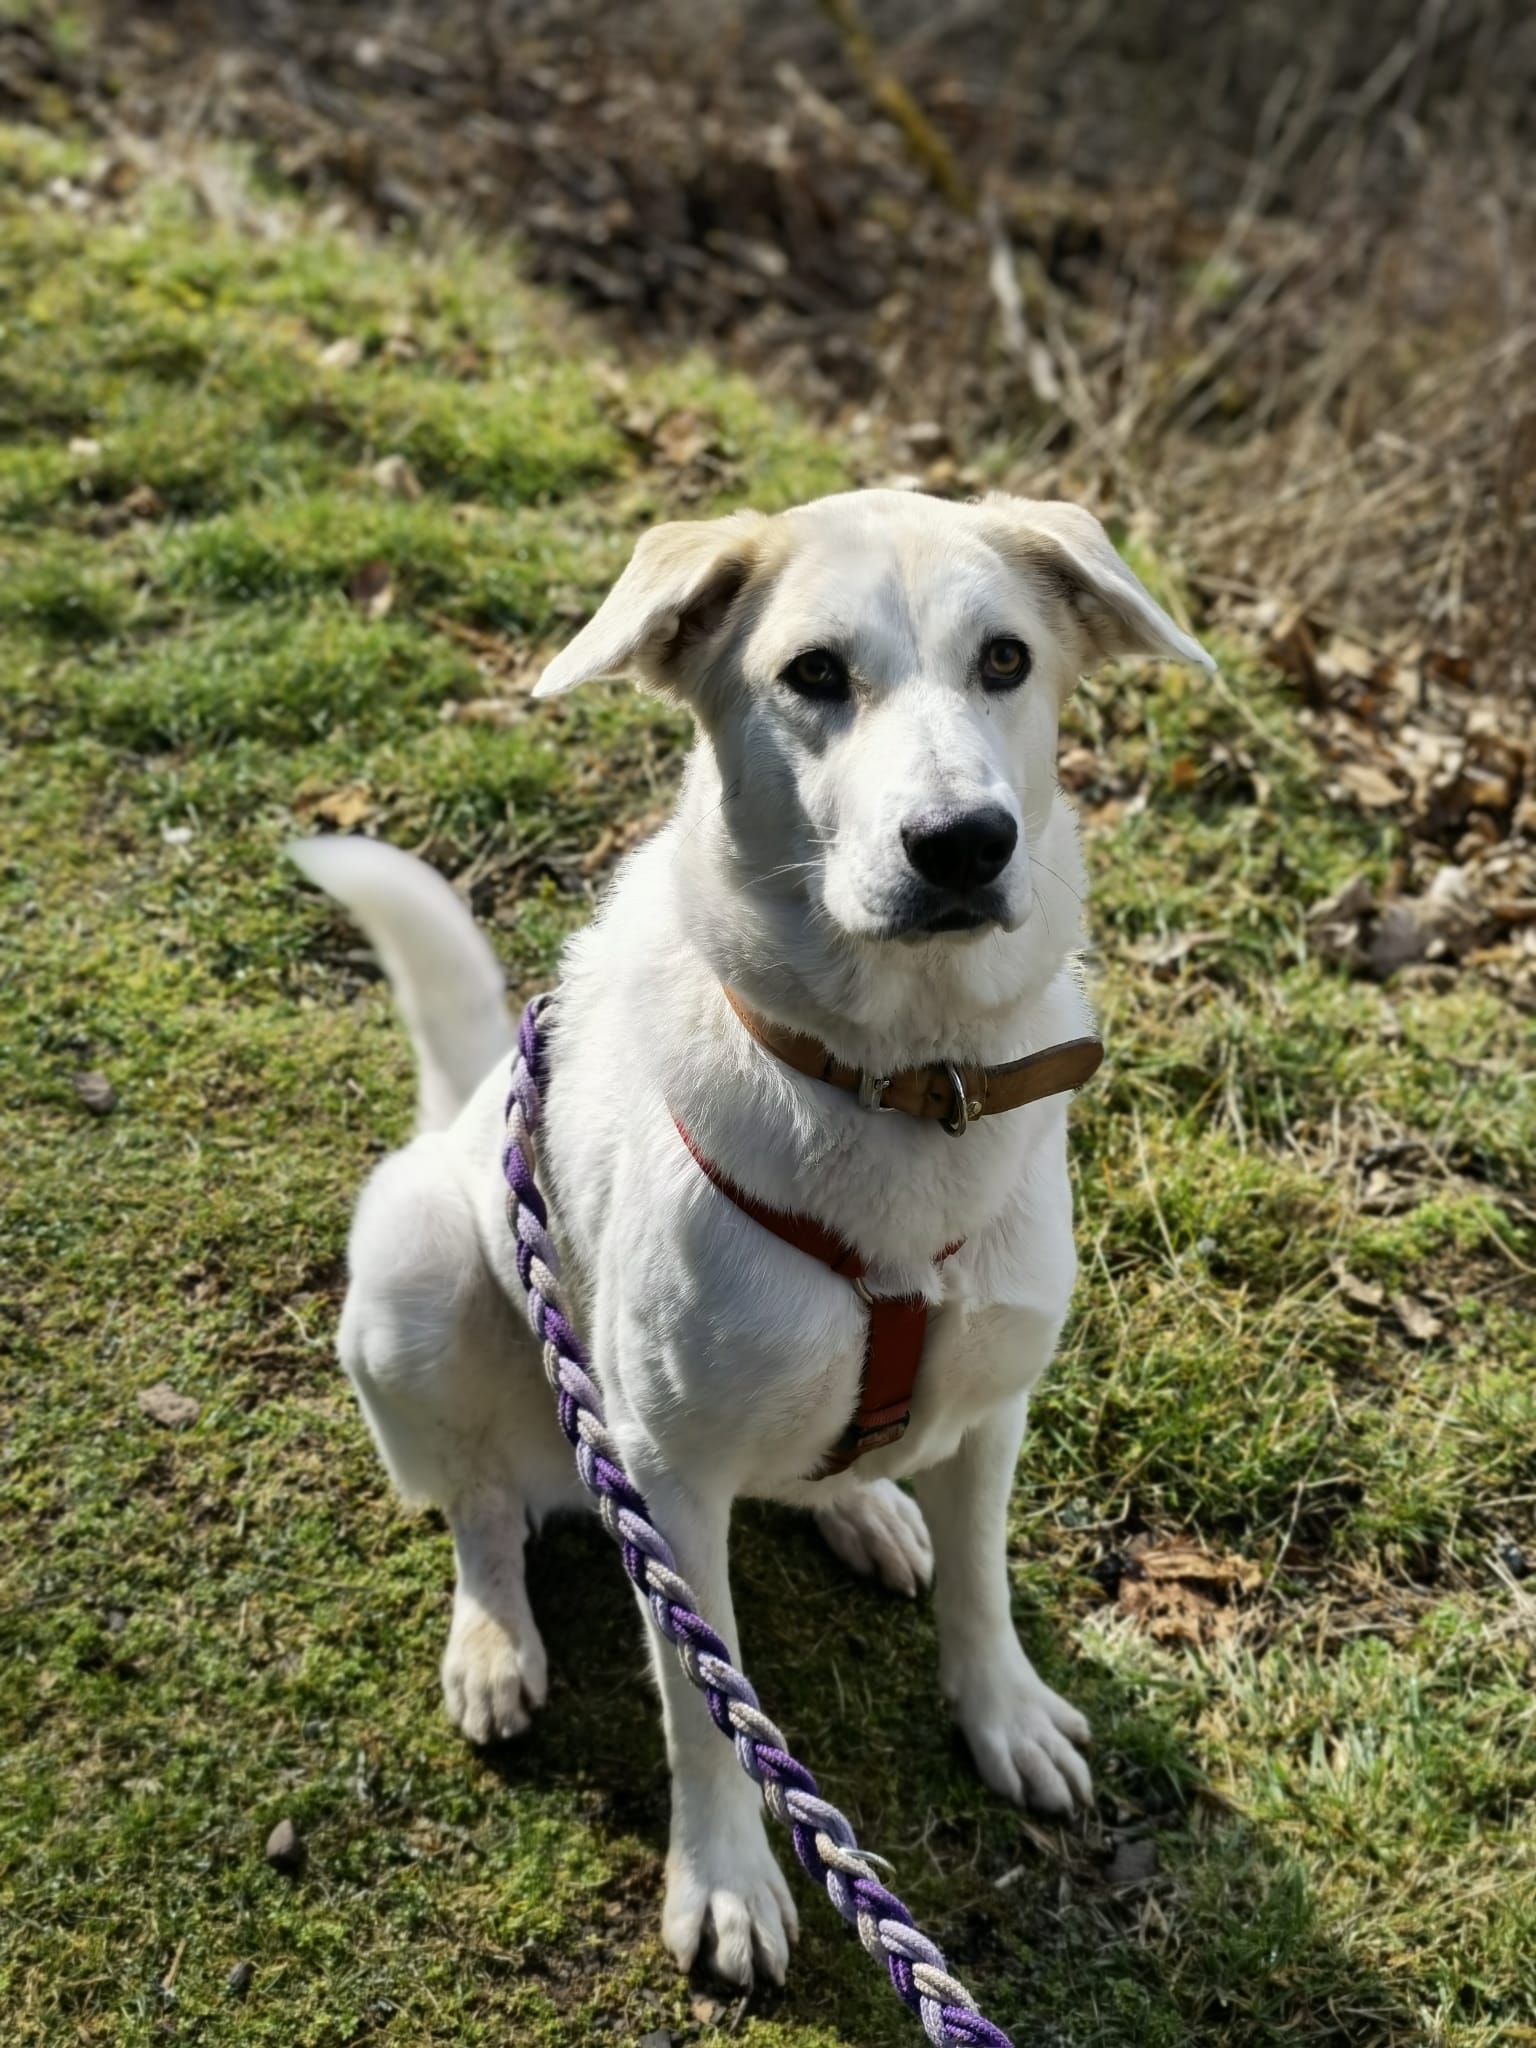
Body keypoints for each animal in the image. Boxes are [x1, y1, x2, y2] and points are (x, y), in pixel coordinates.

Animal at [292, 487, 1212, 1989]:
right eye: (815, 674)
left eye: (1006, 660)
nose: (964, 842)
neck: (903, 1080)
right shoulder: (666, 1481)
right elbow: (704, 1695)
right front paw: (726, 1876)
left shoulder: (996, 1404)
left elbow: (983, 1582)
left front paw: (1002, 1709)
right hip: (421, 1280)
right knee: (479, 1502)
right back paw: (494, 1638)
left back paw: (869, 1510)